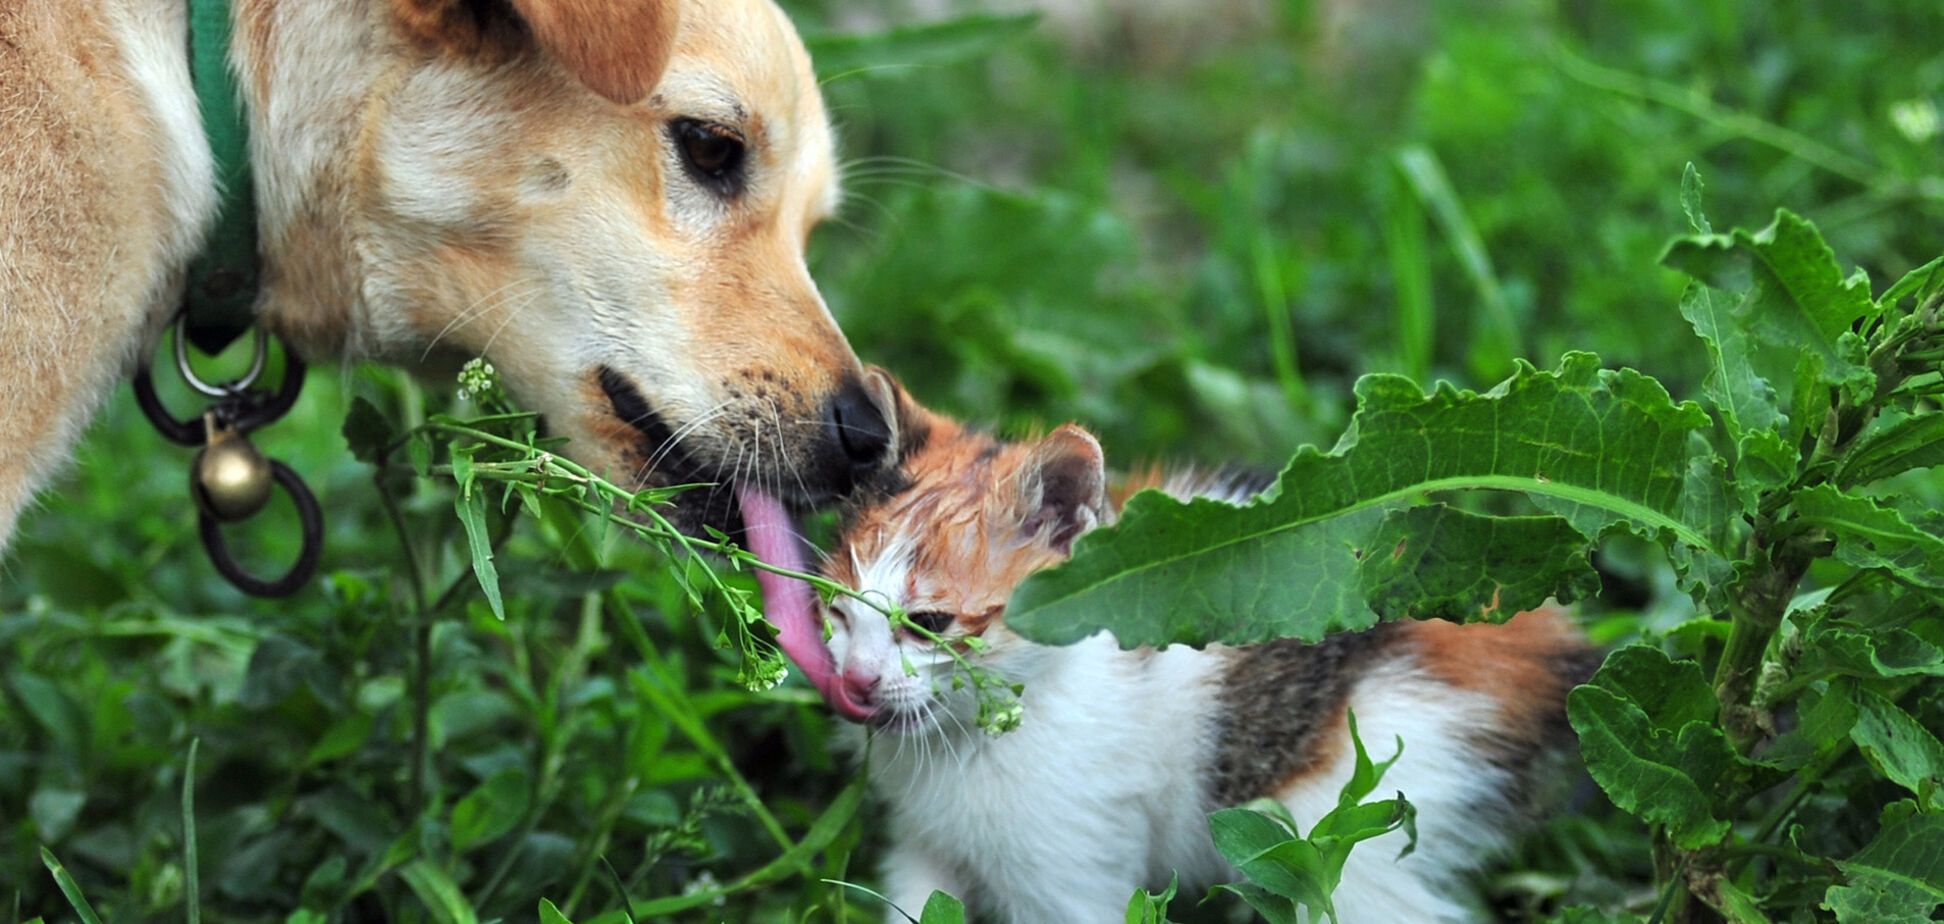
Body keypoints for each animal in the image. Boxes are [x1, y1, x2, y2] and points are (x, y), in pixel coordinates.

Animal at [820, 379, 1594, 922]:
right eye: (836, 610)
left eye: (928, 623)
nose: (855, 681)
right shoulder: (923, 844)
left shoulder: (1070, 863)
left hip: (1363, 822)